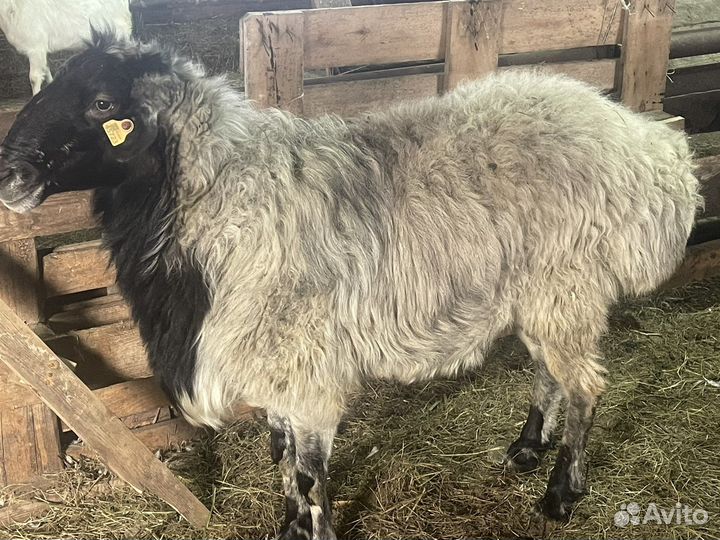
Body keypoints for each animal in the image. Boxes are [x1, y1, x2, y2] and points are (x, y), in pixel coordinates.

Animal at [0, 35, 701, 539]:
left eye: (101, 103)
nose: (8, 174)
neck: (220, 202)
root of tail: (653, 147)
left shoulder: (304, 364)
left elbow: (309, 475)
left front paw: (316, 528)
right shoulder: (278, 366)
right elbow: (285, 461)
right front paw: (287, 528)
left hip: (567, 283)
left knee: (585, 387)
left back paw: (560, 493)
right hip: (542, 292)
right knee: (549, 371)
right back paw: (527, 448)